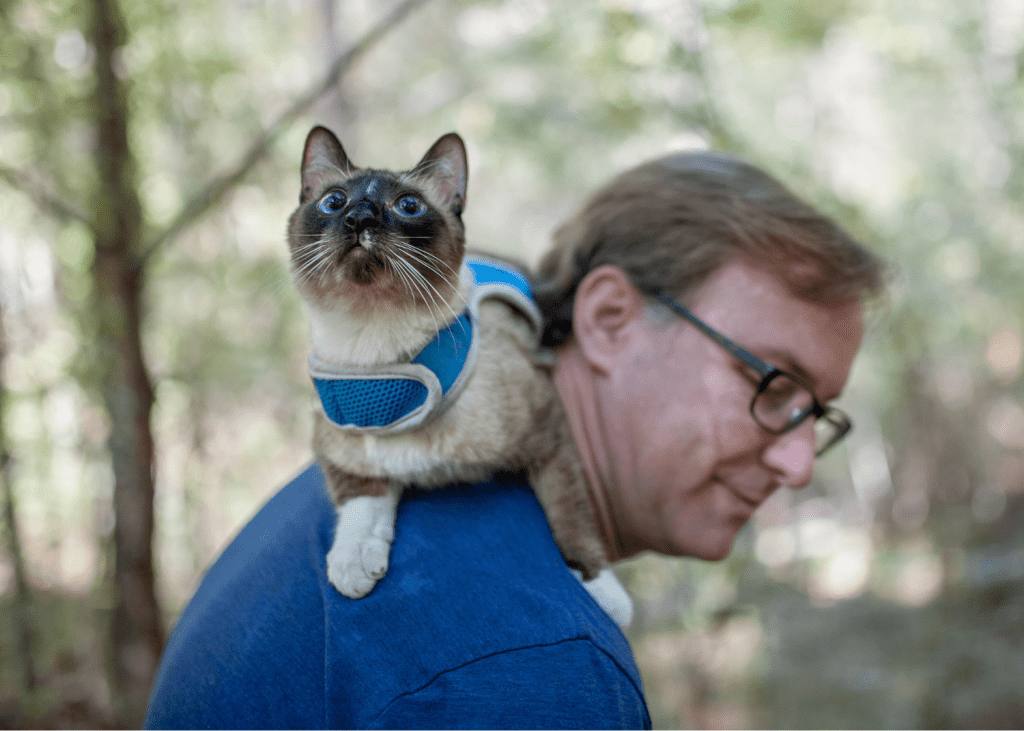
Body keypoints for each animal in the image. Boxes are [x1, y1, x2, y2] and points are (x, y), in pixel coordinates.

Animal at [288, 126, 630, 626]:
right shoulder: (337, 449)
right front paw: (352, 567)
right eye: (334, 201)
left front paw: (600, 589)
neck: (375, 361)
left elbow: (569, 513)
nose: (358, 217)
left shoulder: (549, 430)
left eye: (408, 205)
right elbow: (359, 504)